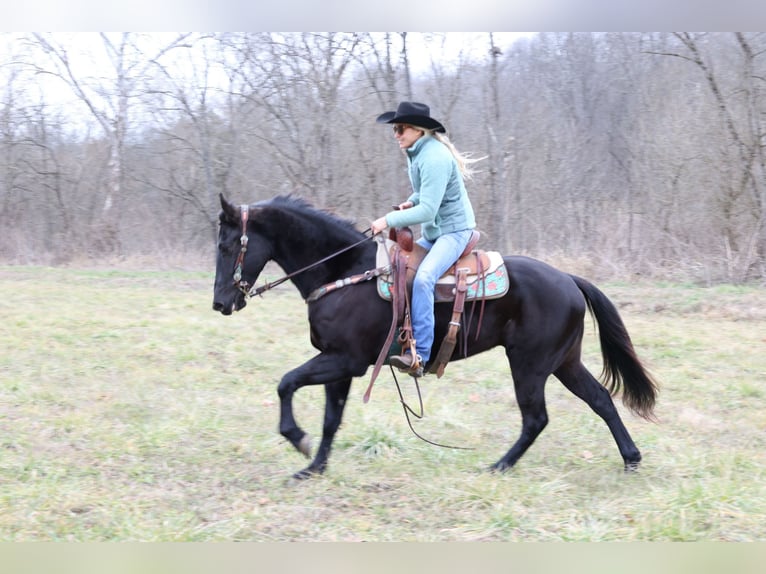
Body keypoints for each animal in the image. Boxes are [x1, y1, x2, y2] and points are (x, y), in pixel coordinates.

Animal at [214, 196, 660, 480]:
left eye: (226, 245)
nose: (220, 303)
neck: (346, 270)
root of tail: (569, 279)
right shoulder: (338, 364)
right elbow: (330, 419)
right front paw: (314, 468)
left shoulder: (343, 360)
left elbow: (286, 383)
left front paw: (297, 440)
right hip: (565, 362)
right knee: (601, 399)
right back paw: (631, 459)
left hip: (530, 366)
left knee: (536, 418)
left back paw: (498, 467)